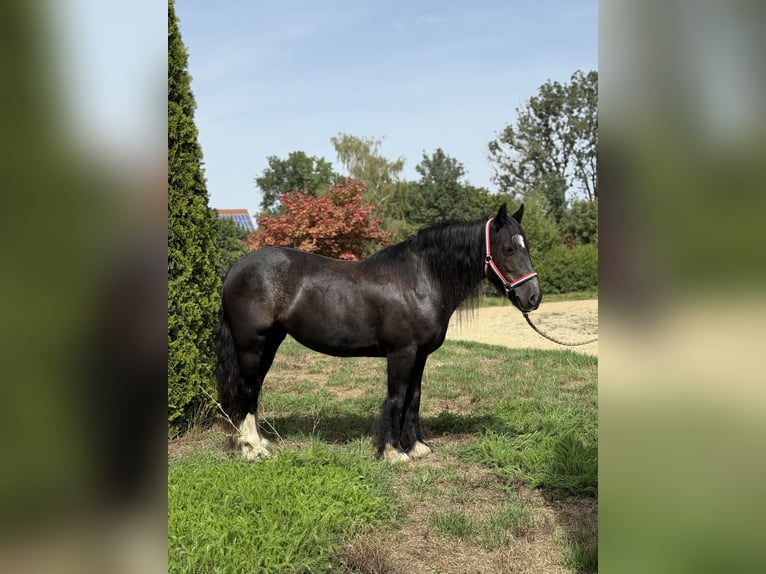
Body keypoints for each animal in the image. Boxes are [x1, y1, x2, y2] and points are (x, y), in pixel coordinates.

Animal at [216, 203, 541, 462]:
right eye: (508, 249)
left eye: (526, 246)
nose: (533, 297)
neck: (419, 280)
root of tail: (235, 269)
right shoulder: (401, 354)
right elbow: (396, 398)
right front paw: (393, 452)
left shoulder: (420, 356)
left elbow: (414, 398)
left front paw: (417, 447)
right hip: (252, 345)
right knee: (247, 389)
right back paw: (253, 449)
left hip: (270, 344)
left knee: (255, 389)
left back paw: (259, 441)